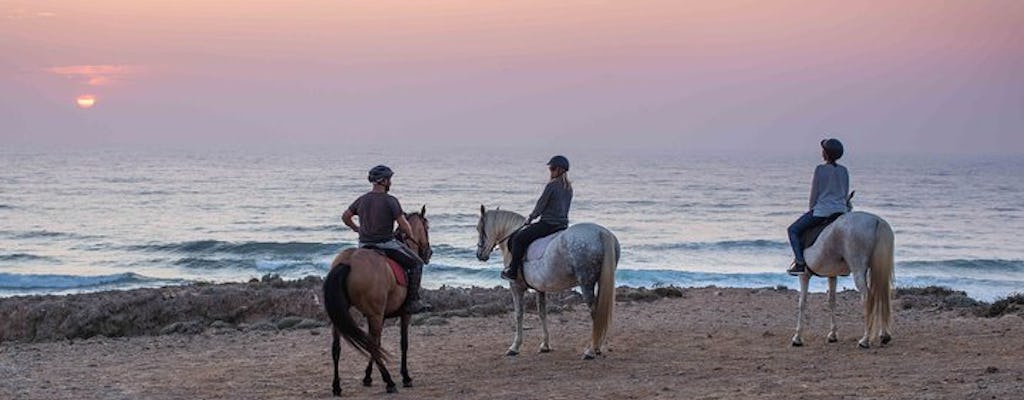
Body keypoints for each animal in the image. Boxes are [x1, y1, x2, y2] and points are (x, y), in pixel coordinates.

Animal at [321, 208, 430, 396]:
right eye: (427, 227)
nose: (429, 253)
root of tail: (348, 261)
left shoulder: (383, 316)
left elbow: (378, 343)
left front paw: (368, 376)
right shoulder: (403, 314)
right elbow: (403, 344)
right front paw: (405, 377)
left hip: (341, 317)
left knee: (337, 348)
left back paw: (336, 386)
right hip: (375, 315)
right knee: (371, 345)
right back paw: (389, 381)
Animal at [475, 206, 618, 360]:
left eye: (479, 228)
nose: (479, 255)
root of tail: (601, 233)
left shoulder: (516, 286)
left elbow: (518, 314)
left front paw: (514, 347)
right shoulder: (540, 288)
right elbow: (542, 313)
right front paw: (545, 345)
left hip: (586, 283)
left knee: (595, 313)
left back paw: (590, 351)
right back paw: (597, 347)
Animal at [790, 211, 897, 349]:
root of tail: (877, 221)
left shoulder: (804, 276)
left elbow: (802, 303)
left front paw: (797, 338)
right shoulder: (832, 275)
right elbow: (832, 301)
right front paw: (832, 335)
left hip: (858, 270)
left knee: (868, 298)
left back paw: (865, 340)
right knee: (882, 296)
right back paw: (884, 336)